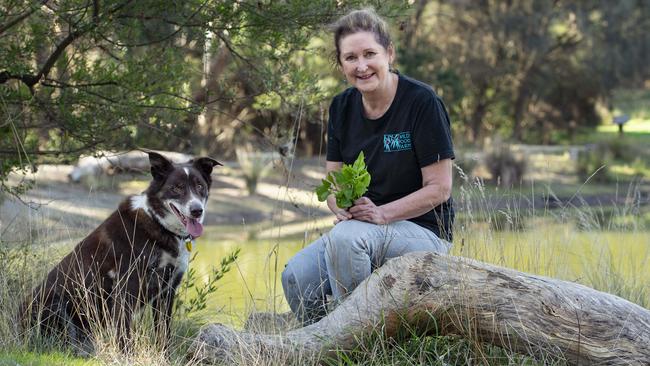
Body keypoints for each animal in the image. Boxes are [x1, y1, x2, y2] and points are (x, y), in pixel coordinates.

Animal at [19, 152, 220, 352]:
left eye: (200, 186)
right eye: (177, 187)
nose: (197, 210)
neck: (159, 223)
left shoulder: (166, 291)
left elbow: (163, 334)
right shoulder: (127, 288)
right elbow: (124, 333)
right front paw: (126, 355)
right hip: (55, 302)